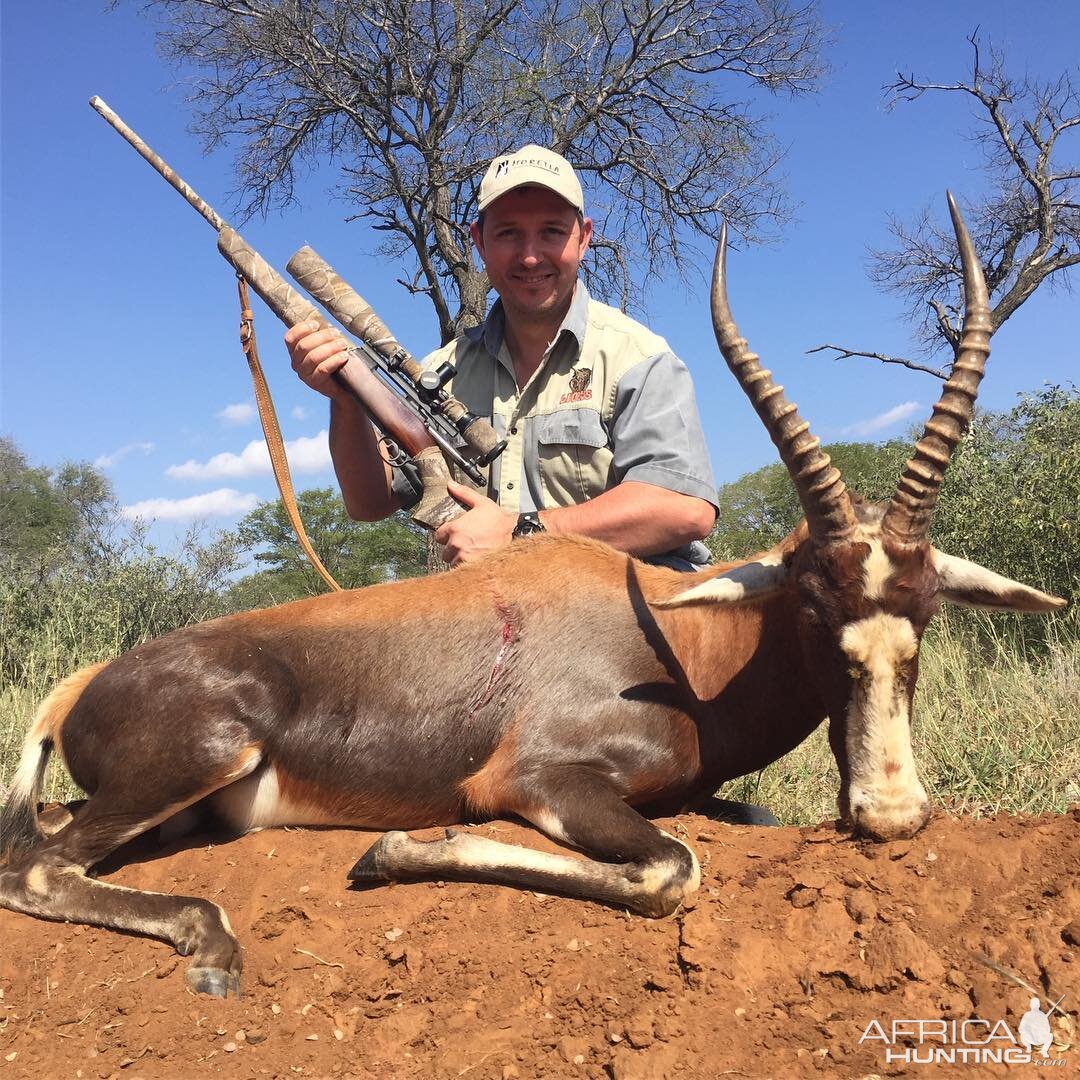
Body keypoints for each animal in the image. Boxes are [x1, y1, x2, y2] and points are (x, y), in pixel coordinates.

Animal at [0, 196, 1062, 993]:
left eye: (925, 610)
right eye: (811, 604)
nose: (890, 812)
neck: (676, 647)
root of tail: (78, 687)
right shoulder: (542, 781)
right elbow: (672, 865)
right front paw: (394, 852)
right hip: (204, 754)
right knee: (39, 867)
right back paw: (213, 943)